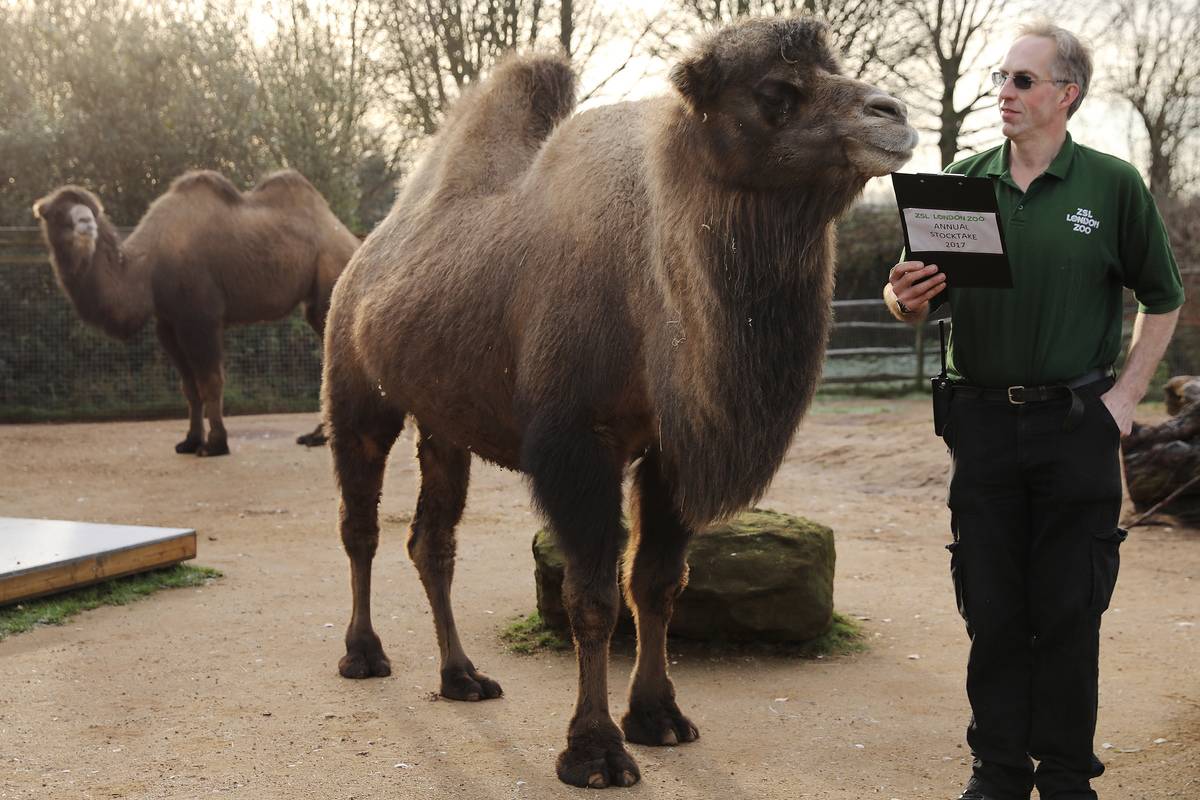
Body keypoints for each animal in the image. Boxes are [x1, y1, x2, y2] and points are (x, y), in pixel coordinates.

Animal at [34, 170, 355, 453]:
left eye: (91, 210)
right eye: (58, 213)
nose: (86, 222)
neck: (148, 267)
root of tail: (351, 240)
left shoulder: (201, 318)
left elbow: (210, 381)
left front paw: (215, 445)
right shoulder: (168, 324)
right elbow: (188, 387)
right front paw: (189, 441)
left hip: (329, 281)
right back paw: (317, 435)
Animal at [324, 17, 912, 786]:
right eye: (775, 92)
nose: (893, 115)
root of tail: (361, 261)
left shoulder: (670, 446)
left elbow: (658, 582)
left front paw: (659, 717)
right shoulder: (579, 442)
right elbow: (593, 597)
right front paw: (595, 750)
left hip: (443, 422)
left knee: (432, 540)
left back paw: (462, 677)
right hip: (357, 391)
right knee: (360, 525)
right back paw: (363, 655)